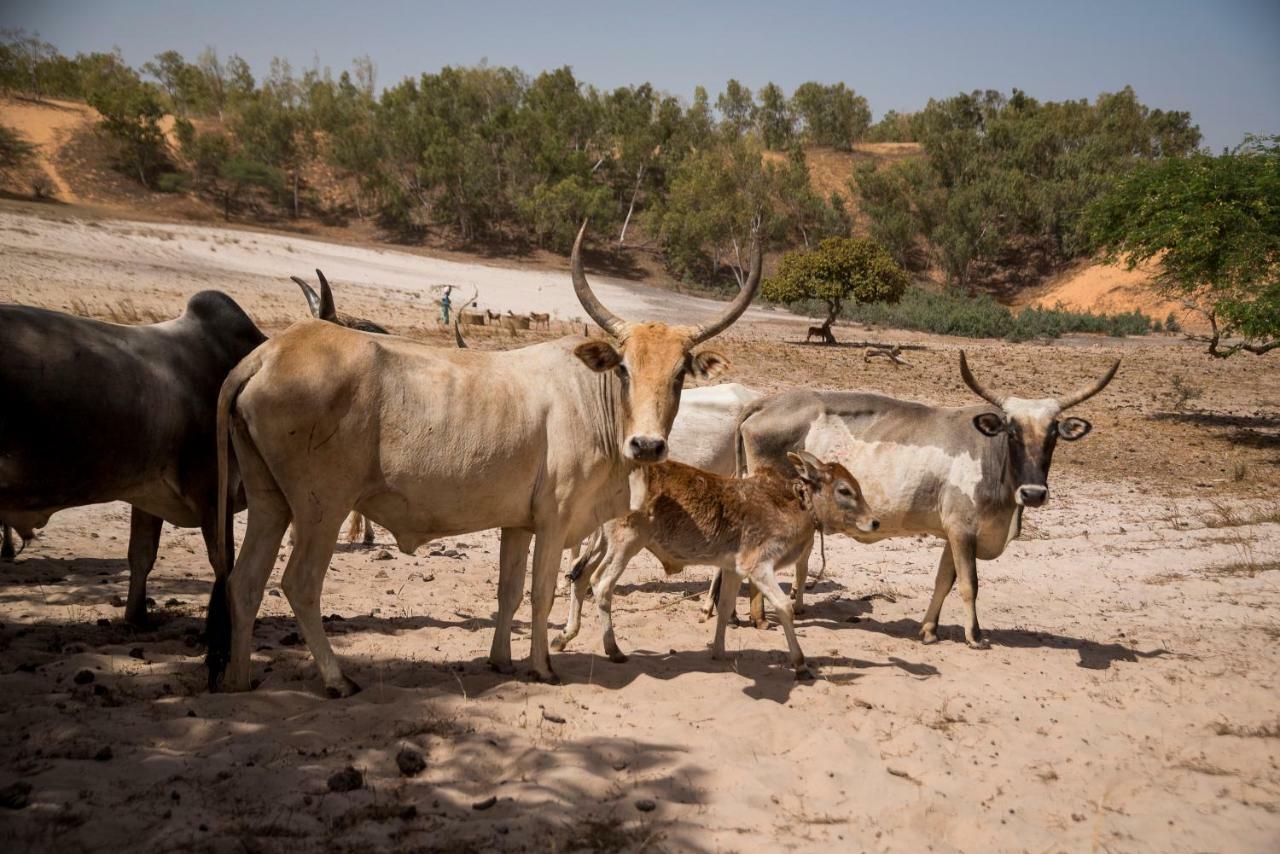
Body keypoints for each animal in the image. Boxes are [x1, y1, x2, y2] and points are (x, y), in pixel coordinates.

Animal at [204, 224, 752, 691]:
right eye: (624, 370)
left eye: (680, 374)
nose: (647, 446)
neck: (589, 397)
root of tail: (267, 354)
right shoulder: (554, 521)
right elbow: (542, 592)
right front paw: (542, 666)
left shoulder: (517, 524)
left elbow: (507, 592)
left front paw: (501, 660)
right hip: (322, 508)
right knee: (298, 584)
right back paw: (336, 679)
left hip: (270, 501)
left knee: (244, 582)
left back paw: (237, 679)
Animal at [550, 450, 880, 676]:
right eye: (844, 490)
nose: (874, 521)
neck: (793, 505)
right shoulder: (758, 566)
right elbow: (784, 607)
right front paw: (800, 664)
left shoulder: (733, 569)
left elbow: (724, 607)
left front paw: (719, 651)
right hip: (626, 542)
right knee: (601, 585)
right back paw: (613, 649)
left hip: (605, 541)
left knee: (579, 577)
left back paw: (564, 636)